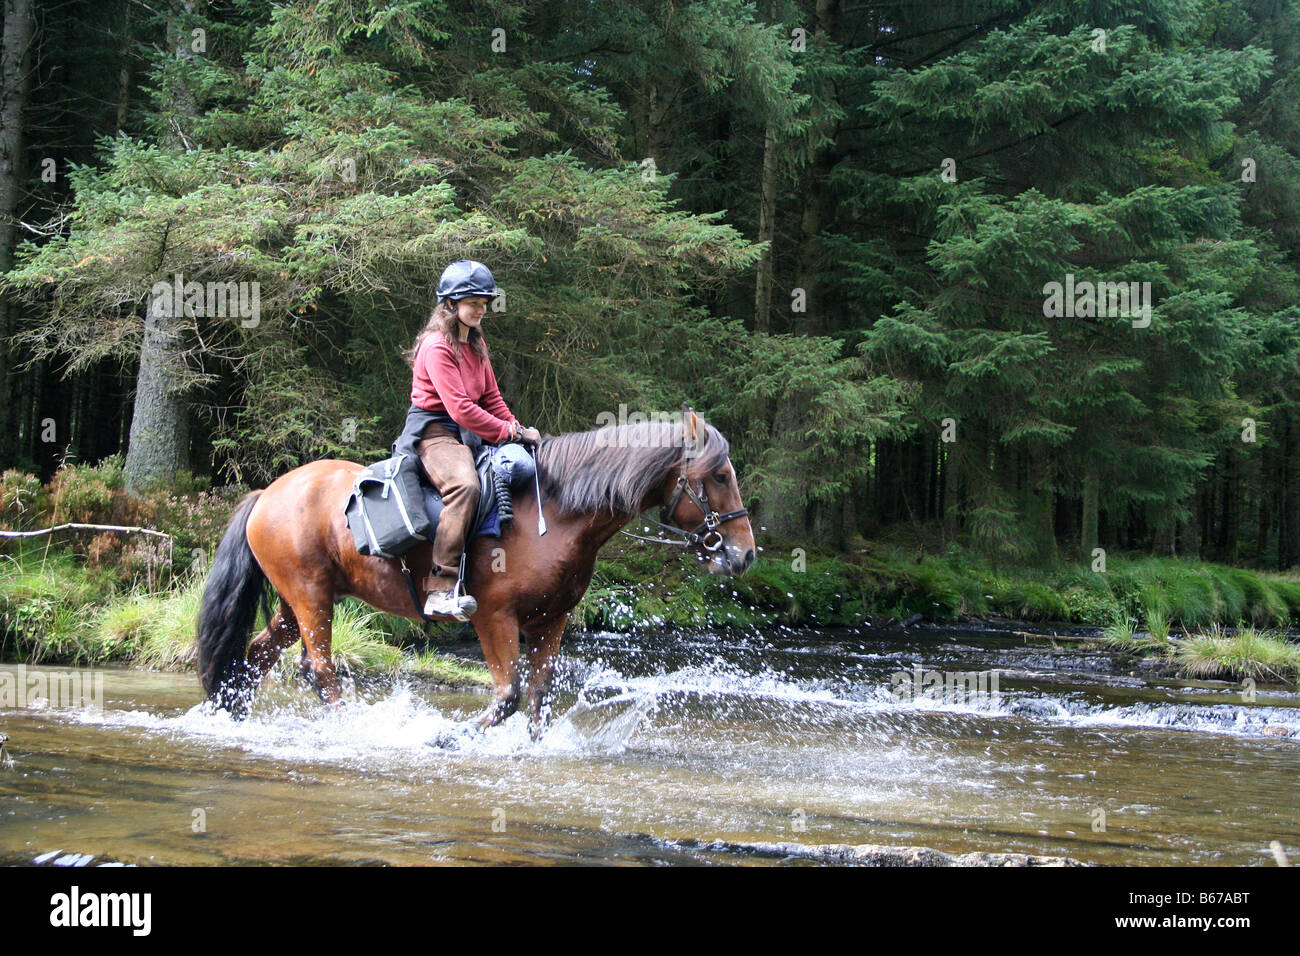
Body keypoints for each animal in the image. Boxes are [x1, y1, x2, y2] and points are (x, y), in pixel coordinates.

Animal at [195, 409, 755, 739]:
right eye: (718, 475)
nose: (746, 554)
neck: (555, 513)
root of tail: (268, 492)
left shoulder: (551, 620)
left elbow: (540, 695)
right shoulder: (493, 616)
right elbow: (507, 697)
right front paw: (445, 737)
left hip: (299, 601)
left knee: (256, 655)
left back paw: (234, 716)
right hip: (311, 597)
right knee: (318, 669)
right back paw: (349, 730)